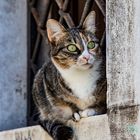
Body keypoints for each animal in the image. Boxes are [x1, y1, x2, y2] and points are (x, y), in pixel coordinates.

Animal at [32, 11, 106, 140]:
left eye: (91, 45)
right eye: (71, 47)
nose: (86, 57)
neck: (81, 75)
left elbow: (103, 104)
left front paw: (90, 110)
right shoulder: (47, 80)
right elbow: (66, 101)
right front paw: (75, 112)